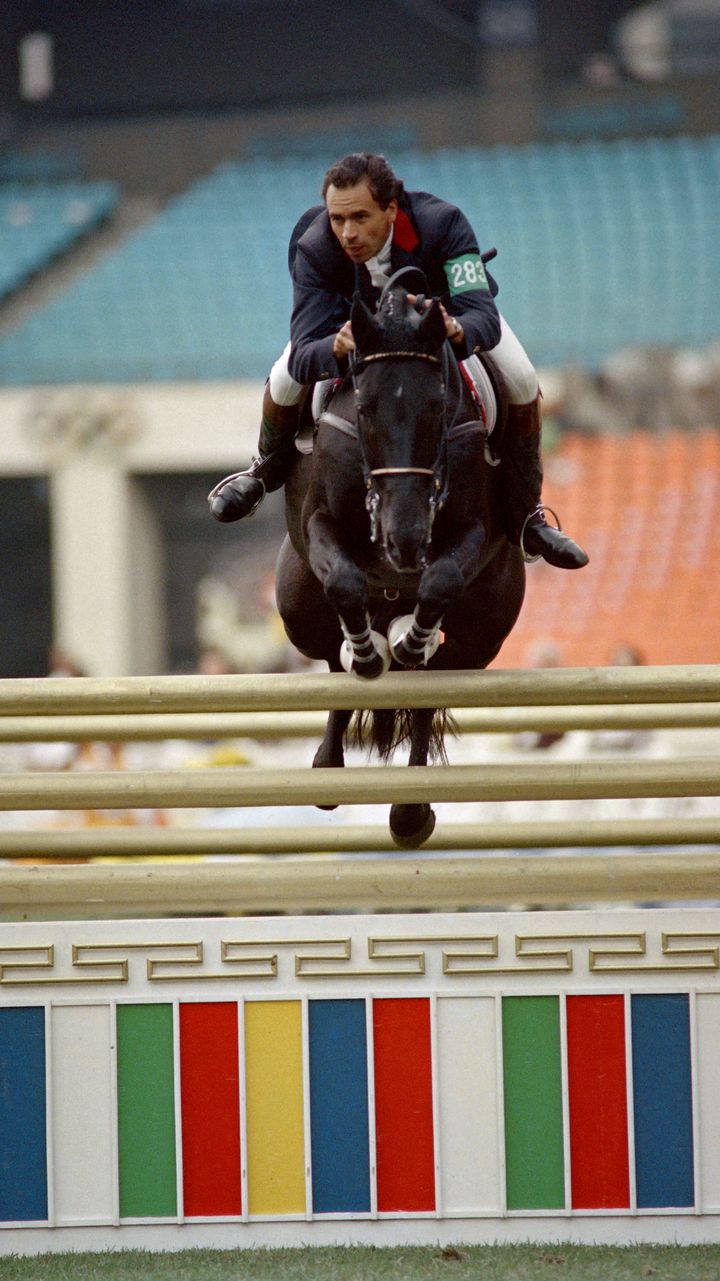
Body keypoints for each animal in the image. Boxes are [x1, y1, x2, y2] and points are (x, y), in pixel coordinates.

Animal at [272, 279, 520, 845]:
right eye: (364, 407)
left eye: (437, 406)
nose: (403, 541)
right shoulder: (320, 521)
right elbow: (344, 583)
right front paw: (366, 652)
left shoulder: (474, 531)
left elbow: (441, 580)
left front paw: (412, 638)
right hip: (296, 607)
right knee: (331, 661)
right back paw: (329, 764)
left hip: (481, 636)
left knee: (431, 684)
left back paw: (410, 810)